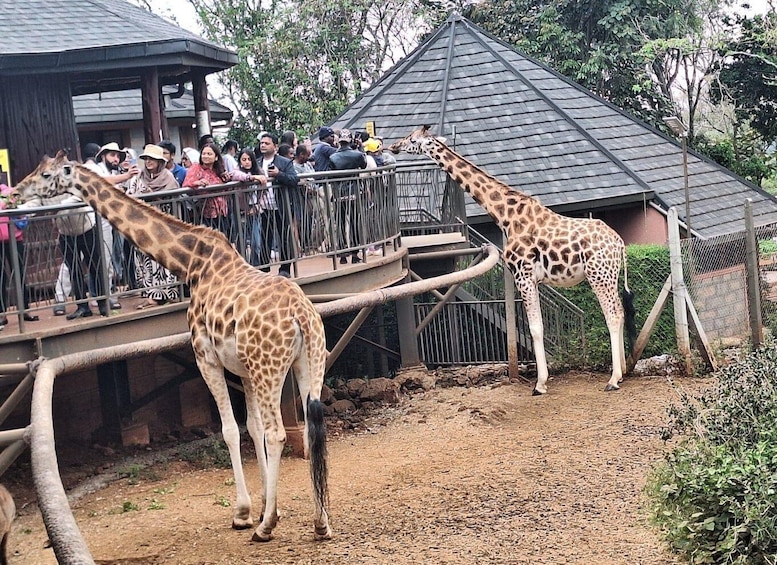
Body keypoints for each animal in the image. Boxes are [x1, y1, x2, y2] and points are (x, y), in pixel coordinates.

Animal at [15, 151, 331, 542]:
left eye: (46, 175)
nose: (16, 192)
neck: (192, 263)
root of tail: (301, 315)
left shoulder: (205, 357)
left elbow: (231, 430)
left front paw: (246, 513)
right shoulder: (242, 368)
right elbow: (251, 428)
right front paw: (261, 506)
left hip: (269, 368)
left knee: (278, 434)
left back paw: (266, 528)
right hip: (307, 361)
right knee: (311, 426)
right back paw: (320, 523)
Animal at [390, 126, 636, 395]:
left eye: (413, 139)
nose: (394, 146)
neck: (505, 216)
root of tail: (619, 243)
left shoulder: (523, 274)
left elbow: (535, 328)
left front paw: (539, 384)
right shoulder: (533, 279)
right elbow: (537, 326)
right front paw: (541, 380)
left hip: (598, 275)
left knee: (613, 314)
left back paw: (613, 379)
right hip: (609, 275)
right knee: (621, 311)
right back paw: (623, 372)